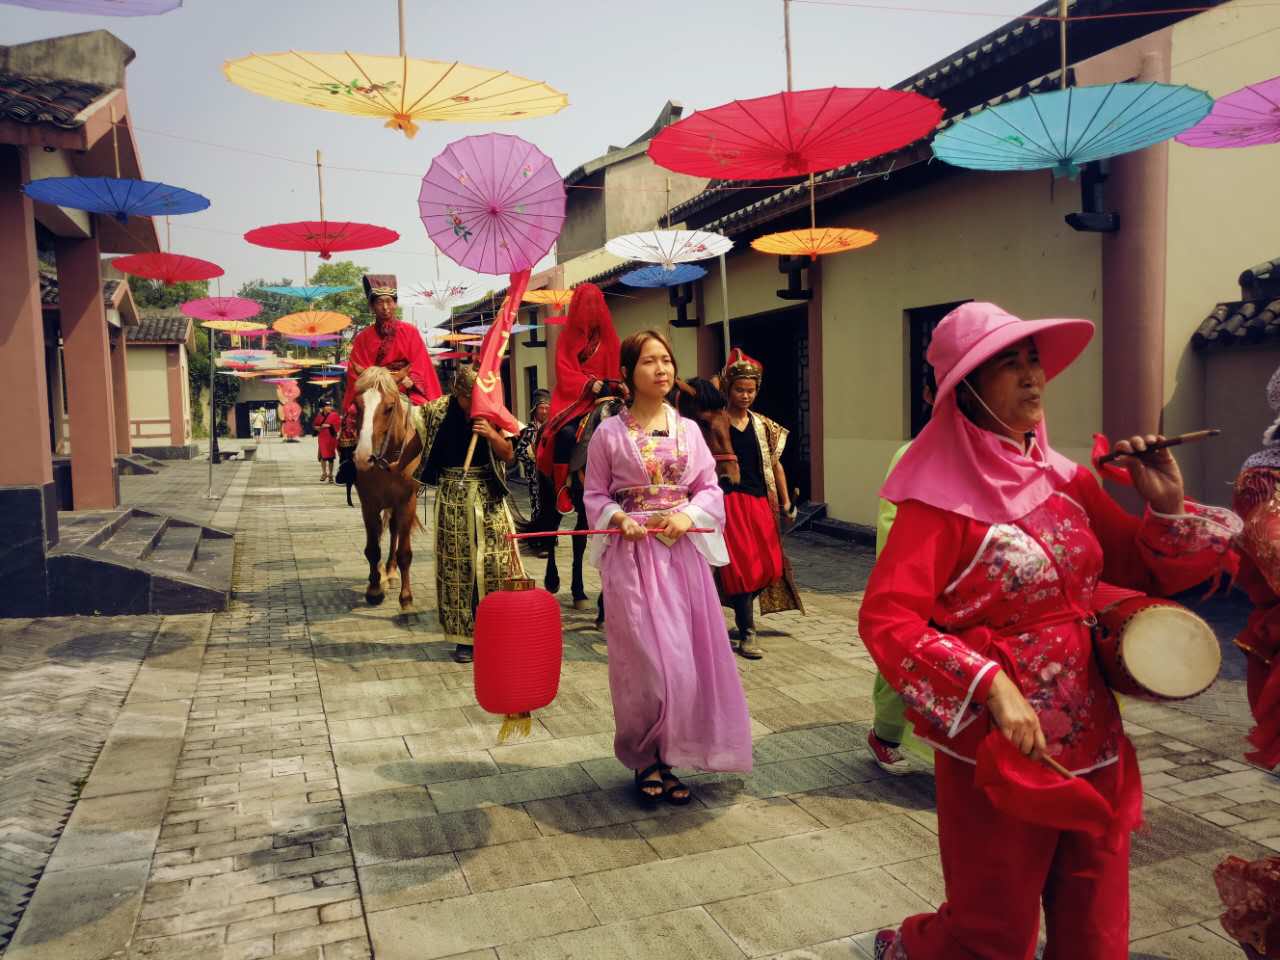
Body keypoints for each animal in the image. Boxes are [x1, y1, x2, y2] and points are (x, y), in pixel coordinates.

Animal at [348, 368, 422, 609]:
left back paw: (391, 571)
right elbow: (372, 549)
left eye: (389, 408)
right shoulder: (368, 503)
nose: (363, 457)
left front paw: (406, 597)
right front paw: (374, 589)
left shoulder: (407, 501)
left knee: (394, 530)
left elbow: (405, 552)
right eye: (357, 406)